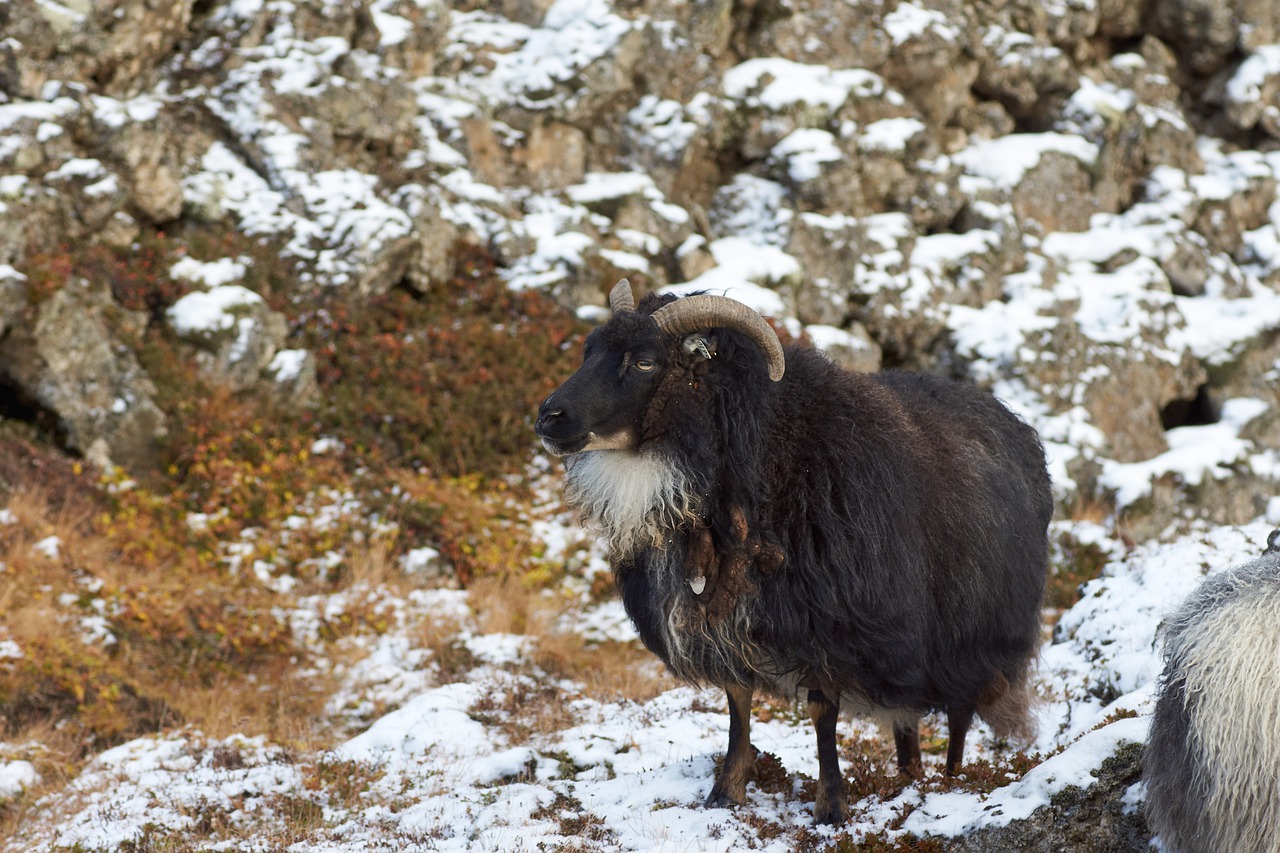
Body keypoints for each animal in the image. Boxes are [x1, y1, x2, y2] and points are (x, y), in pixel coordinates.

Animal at [535, 281, 1053, 824]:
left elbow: (823, 714)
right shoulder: (723, 619)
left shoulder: (828, 622)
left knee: (958, 718)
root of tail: (1013, 422)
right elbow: (738, 705)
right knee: (908, 725)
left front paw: (831, 806)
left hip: (972, 638)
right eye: (589, 350)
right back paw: (910, 779)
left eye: (644, 362)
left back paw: (952, 784)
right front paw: (726, 792)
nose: (548, 417)